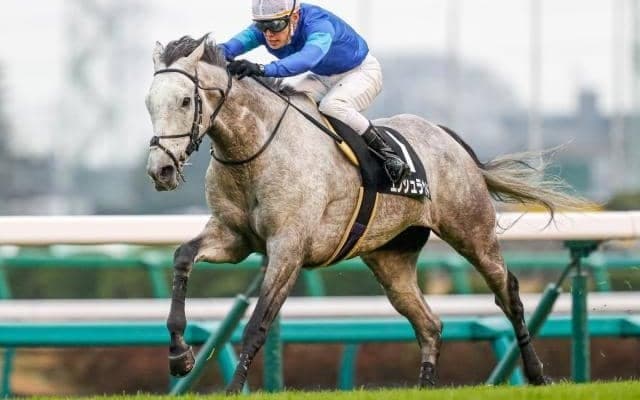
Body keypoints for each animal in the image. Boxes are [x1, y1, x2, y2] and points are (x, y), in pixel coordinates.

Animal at [145, 34, 588, 393]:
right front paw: (179, 355)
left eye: (185, 100)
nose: (160, 170)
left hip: (472, 232)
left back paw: (536, 373)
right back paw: (425, 386)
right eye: (149, 102)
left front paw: (233, 388)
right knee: (430, 323)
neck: (253, 151)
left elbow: (258, 323)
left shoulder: (288, 248)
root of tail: (449, 139)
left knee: (507, 292)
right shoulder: (233, 238)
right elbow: (182, 257)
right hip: (391, 258)